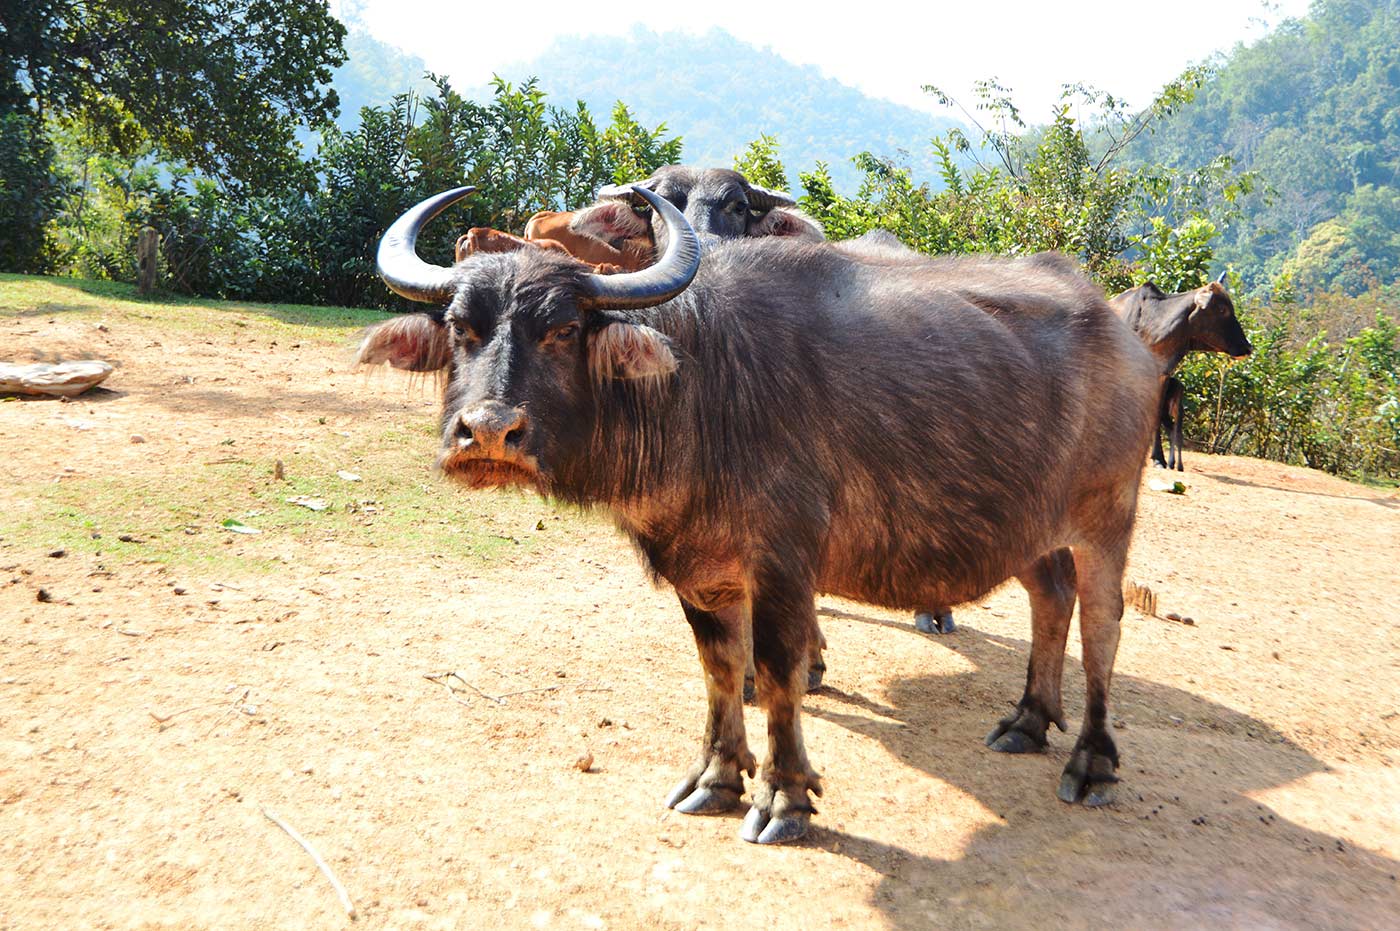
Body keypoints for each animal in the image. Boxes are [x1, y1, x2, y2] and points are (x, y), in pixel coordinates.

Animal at [361, 183, 1159, 840]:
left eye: (561, 329)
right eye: (460, 327)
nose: (490, 433)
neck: (697, 386)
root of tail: (1124, 334)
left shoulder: (784, 566)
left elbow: (778, 673)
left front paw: (784, 797)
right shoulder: (702, 567)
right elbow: (719, 667)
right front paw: (716, 778)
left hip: (1108, 514)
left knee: (1103, 626)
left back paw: (1091, 762)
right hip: (1030, 524)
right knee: (1051, 598)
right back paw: (1028, 720)